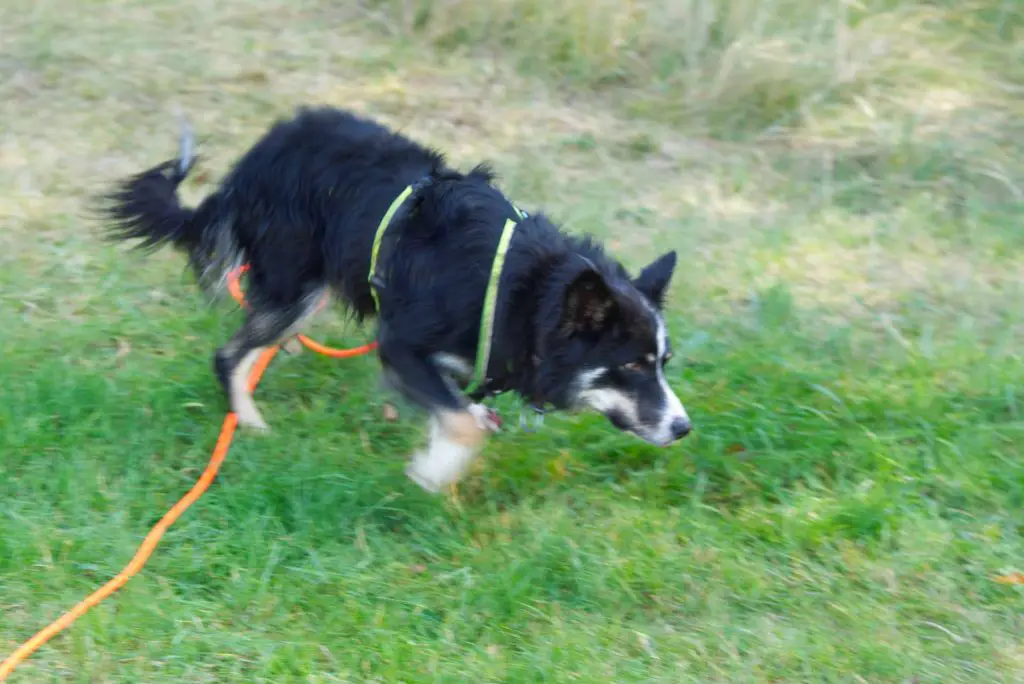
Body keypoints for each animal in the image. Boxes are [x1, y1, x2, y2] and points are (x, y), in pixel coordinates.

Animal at [99, 105, 692, 491]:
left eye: (663, 362)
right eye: (631, 367)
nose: (684, 428)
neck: (522, 293)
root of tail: (251, 162)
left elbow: (460, 411)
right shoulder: (402, 344)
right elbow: (460, 423)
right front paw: (433, 472)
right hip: (299, 284)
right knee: (228, 354)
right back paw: (250, 421)